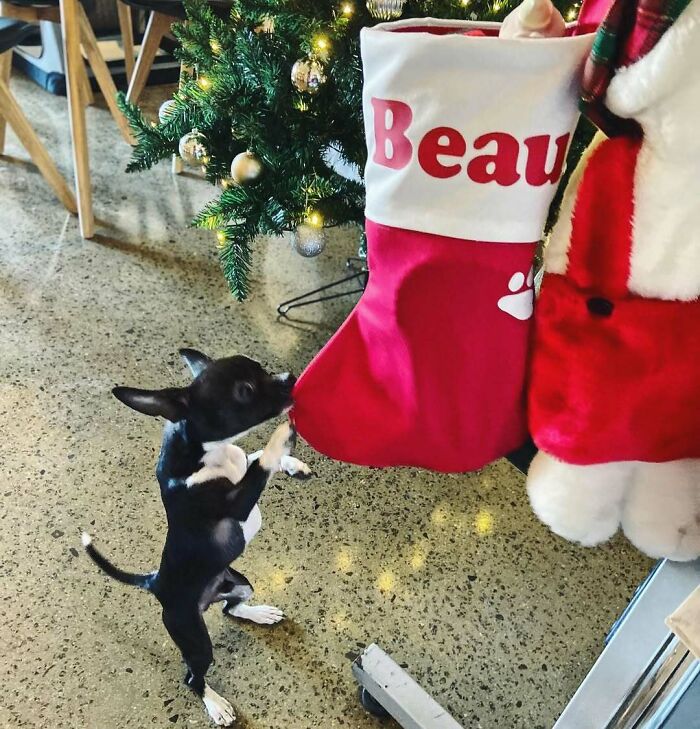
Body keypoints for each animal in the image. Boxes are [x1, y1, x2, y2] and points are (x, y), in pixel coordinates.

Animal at [82, 350, 312, 724]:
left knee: (232, 609)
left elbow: (253, 459)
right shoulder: (237, 503)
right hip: (194, 638)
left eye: (260, 369)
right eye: (245, 390)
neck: (208, 452)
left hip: (240, 583)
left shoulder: (240, 466)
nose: (289, 378)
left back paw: (259, 614)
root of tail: (154, 581)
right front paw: (281, 436)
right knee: (193, 677)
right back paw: (215, 704)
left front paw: (294, 464)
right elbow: (260, 463)